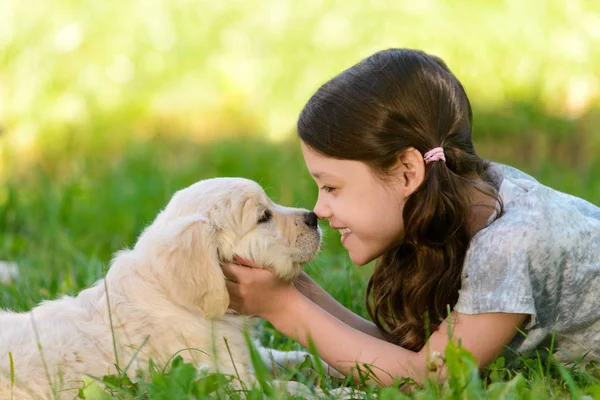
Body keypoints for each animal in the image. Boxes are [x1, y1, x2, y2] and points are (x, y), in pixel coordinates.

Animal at [0, 179, 342, 400]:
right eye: (264, 217)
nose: (314, 217)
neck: (174, 296)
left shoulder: (248, 354)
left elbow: (296, 356)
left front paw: (337, 371)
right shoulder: (224, 379)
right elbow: (289, 389)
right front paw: (341, 391)